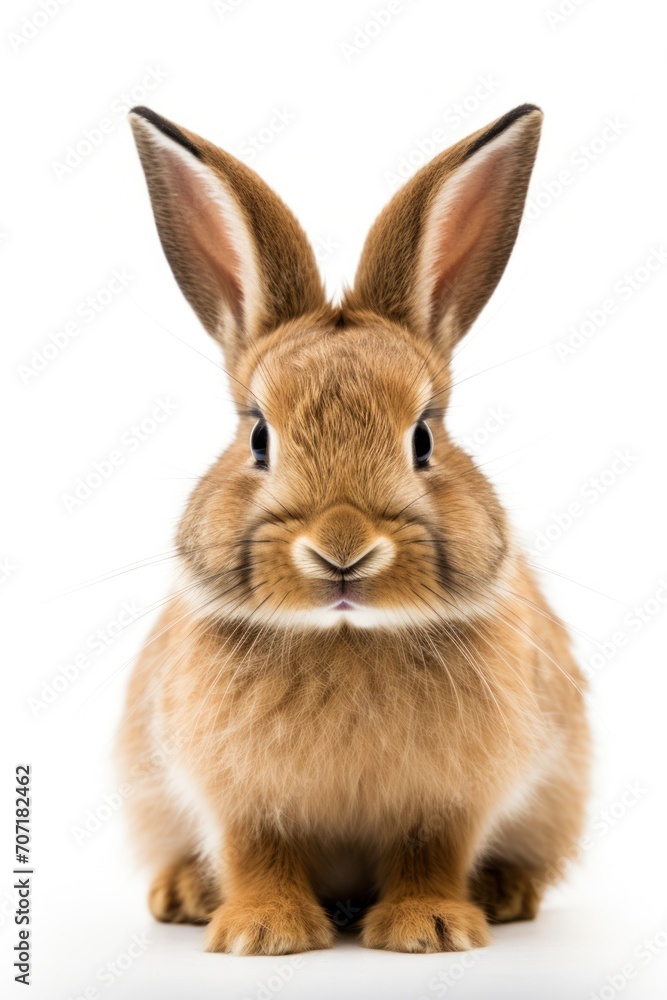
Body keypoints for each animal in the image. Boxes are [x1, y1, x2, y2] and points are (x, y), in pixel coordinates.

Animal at [118, 105, 588, 956]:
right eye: (258, 438)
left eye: (423, 439)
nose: (342, 549)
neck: (345, 638)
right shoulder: (236, 796)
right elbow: (255, 851)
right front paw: (262, 932)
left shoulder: (447, 800)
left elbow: (431, 852)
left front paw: (430, 928)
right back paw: (184, 894)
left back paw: (504, 893)